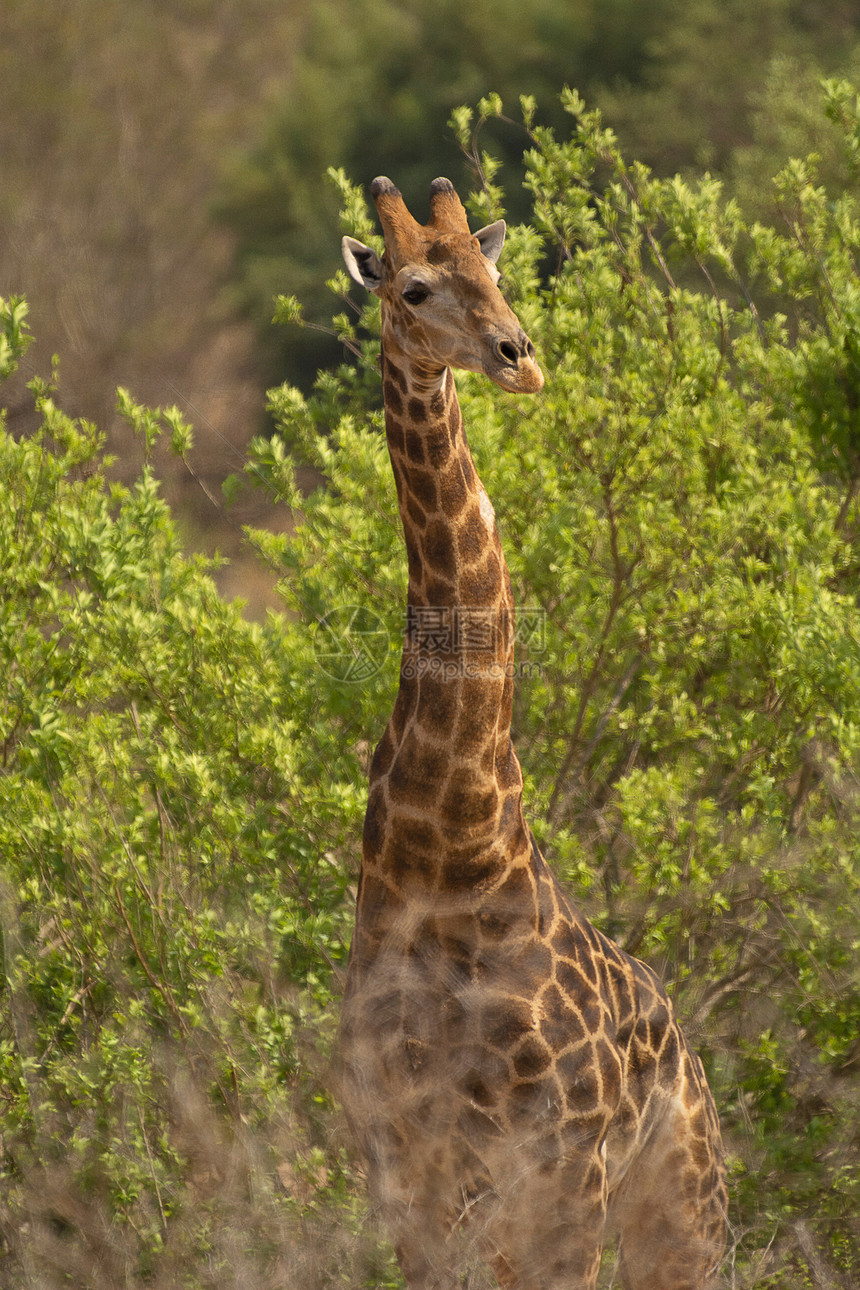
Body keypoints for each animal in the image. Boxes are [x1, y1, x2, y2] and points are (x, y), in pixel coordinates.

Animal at [335, 174, 727, 1290]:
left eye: (492, 269)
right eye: (415, 287)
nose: (522, 358)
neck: (454, 849)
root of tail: (690, 1057)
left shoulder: (562, 1170)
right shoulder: (402, 1161)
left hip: (680, 1217)